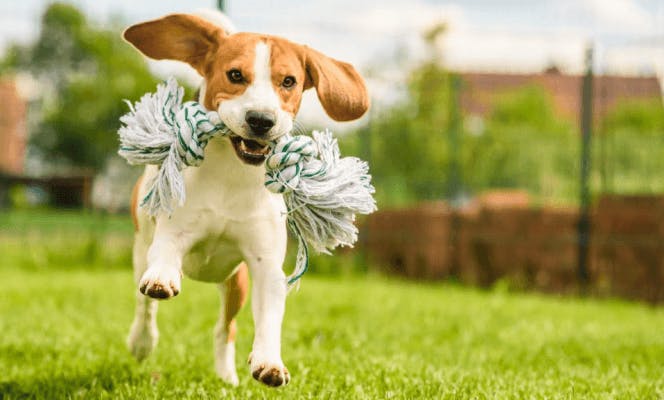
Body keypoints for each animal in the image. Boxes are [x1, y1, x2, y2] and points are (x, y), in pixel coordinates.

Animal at [123, 13, 368, 388]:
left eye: (289, 81)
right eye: (235, 75)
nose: (261, 120)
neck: (232, 176)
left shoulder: (265, 265)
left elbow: (269, 317)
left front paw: (269, 362)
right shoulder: (173, 233)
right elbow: (163, 258)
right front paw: (162, 279)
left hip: (235, 282)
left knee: (226, 328)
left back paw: (226, 376)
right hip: (140, 249)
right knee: (144, 305)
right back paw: (141, 341)